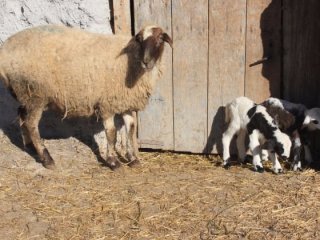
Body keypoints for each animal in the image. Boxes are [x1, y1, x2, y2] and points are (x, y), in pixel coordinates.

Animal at [0, 24, 172, 169]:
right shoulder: (107, 103)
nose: (146, 62)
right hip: (36, 93)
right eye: (141, 40)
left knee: (22, 115)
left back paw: (29, 146)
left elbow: (130, 130)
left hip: (25, 93)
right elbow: (111, 133)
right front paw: (113, 162)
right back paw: (47, 158)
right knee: (31, 124)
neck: (131, 59)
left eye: (160, 40)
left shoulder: (126, 103)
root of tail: (5, 48)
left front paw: (133, 159)